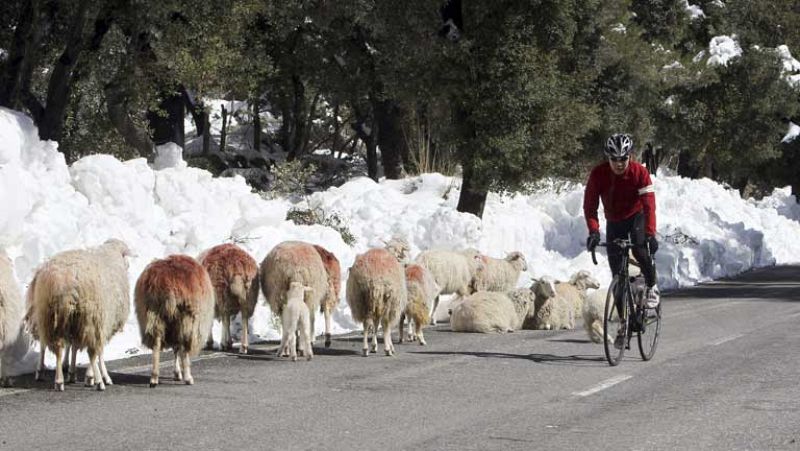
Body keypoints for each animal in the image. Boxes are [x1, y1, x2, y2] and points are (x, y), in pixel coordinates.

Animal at [27, 240, 131, 392]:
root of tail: (62, 282)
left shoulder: (78, 323)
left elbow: (75, 346)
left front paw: (72, 372)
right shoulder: (101, 322)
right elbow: (98, 352)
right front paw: (96, 376)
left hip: (48, 315)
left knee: (51, 345)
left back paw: (54, 378)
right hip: (89, 318)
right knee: (91, 351)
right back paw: (98, 381)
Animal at [135, 254, 216, 388]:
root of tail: (166, 282)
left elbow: (175, 348)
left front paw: (177, 373)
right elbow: (179, 348)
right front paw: (179, 374)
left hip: (153, 316)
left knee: (156, 345)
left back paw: (154, 378)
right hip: (186, 318)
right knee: (185, 349)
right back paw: (188, 378)